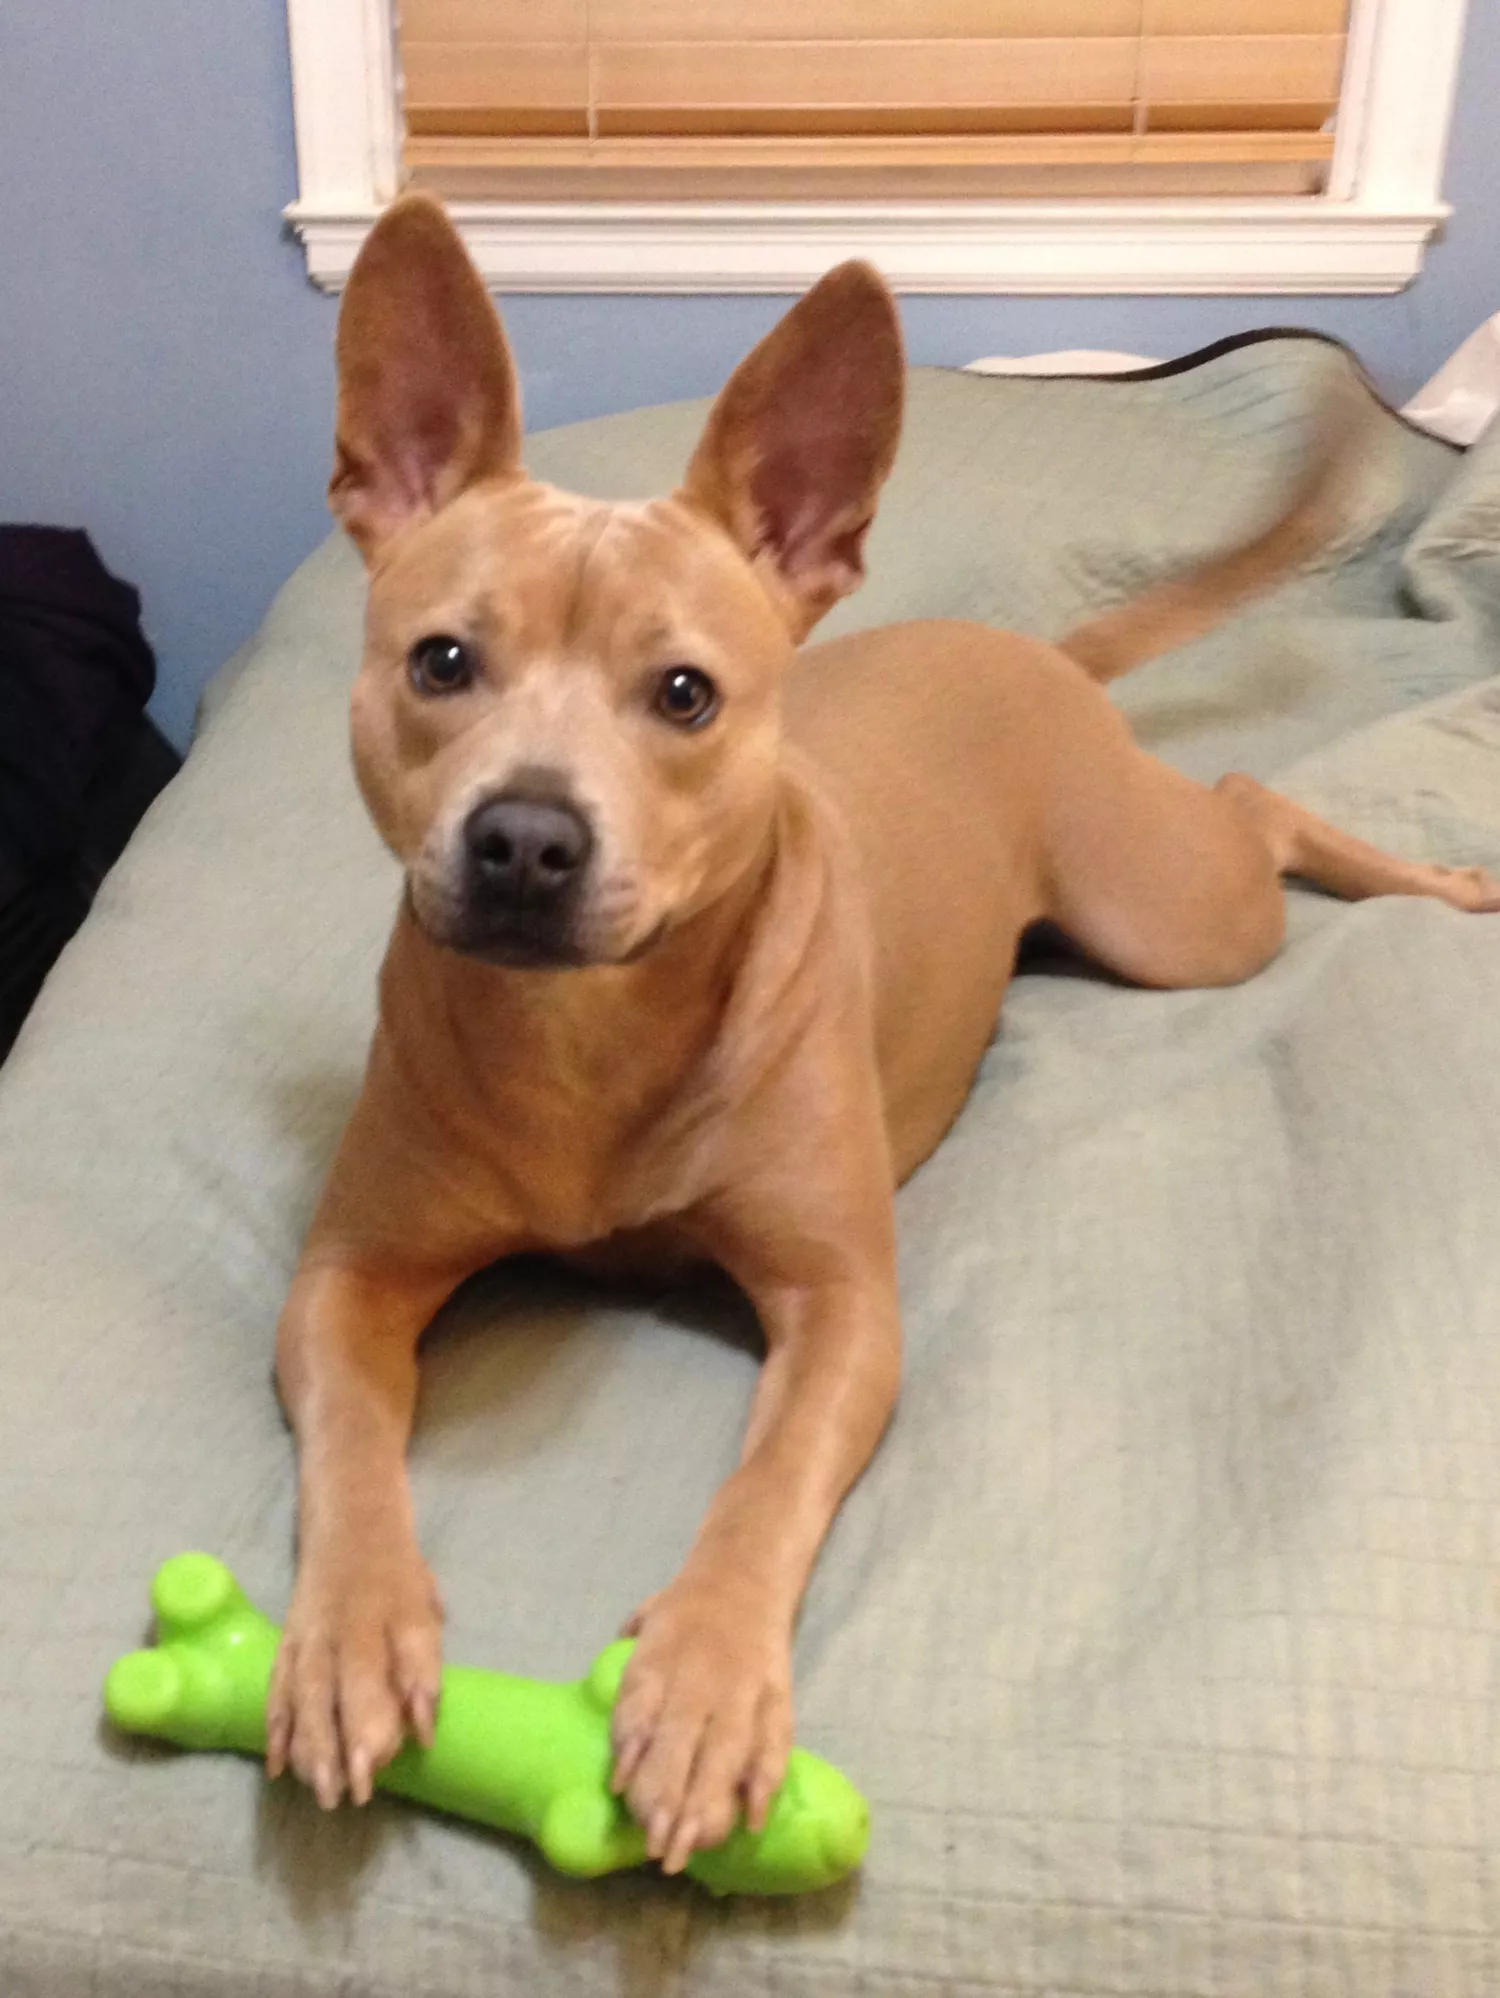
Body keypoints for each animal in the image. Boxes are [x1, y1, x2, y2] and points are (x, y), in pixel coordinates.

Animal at [267, 194, 1500, 1862]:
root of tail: (1031, 649)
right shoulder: (350, 1274)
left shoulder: (840, 1304)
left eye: (684, 694)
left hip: (1173, 912)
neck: (591, 1035)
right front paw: (345, 1633)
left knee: (1261, 801)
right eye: (441, 662)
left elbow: (768, 1481)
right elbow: (349, 1439)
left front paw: (706, 1684)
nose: (525, 839)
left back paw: (1434, 877)